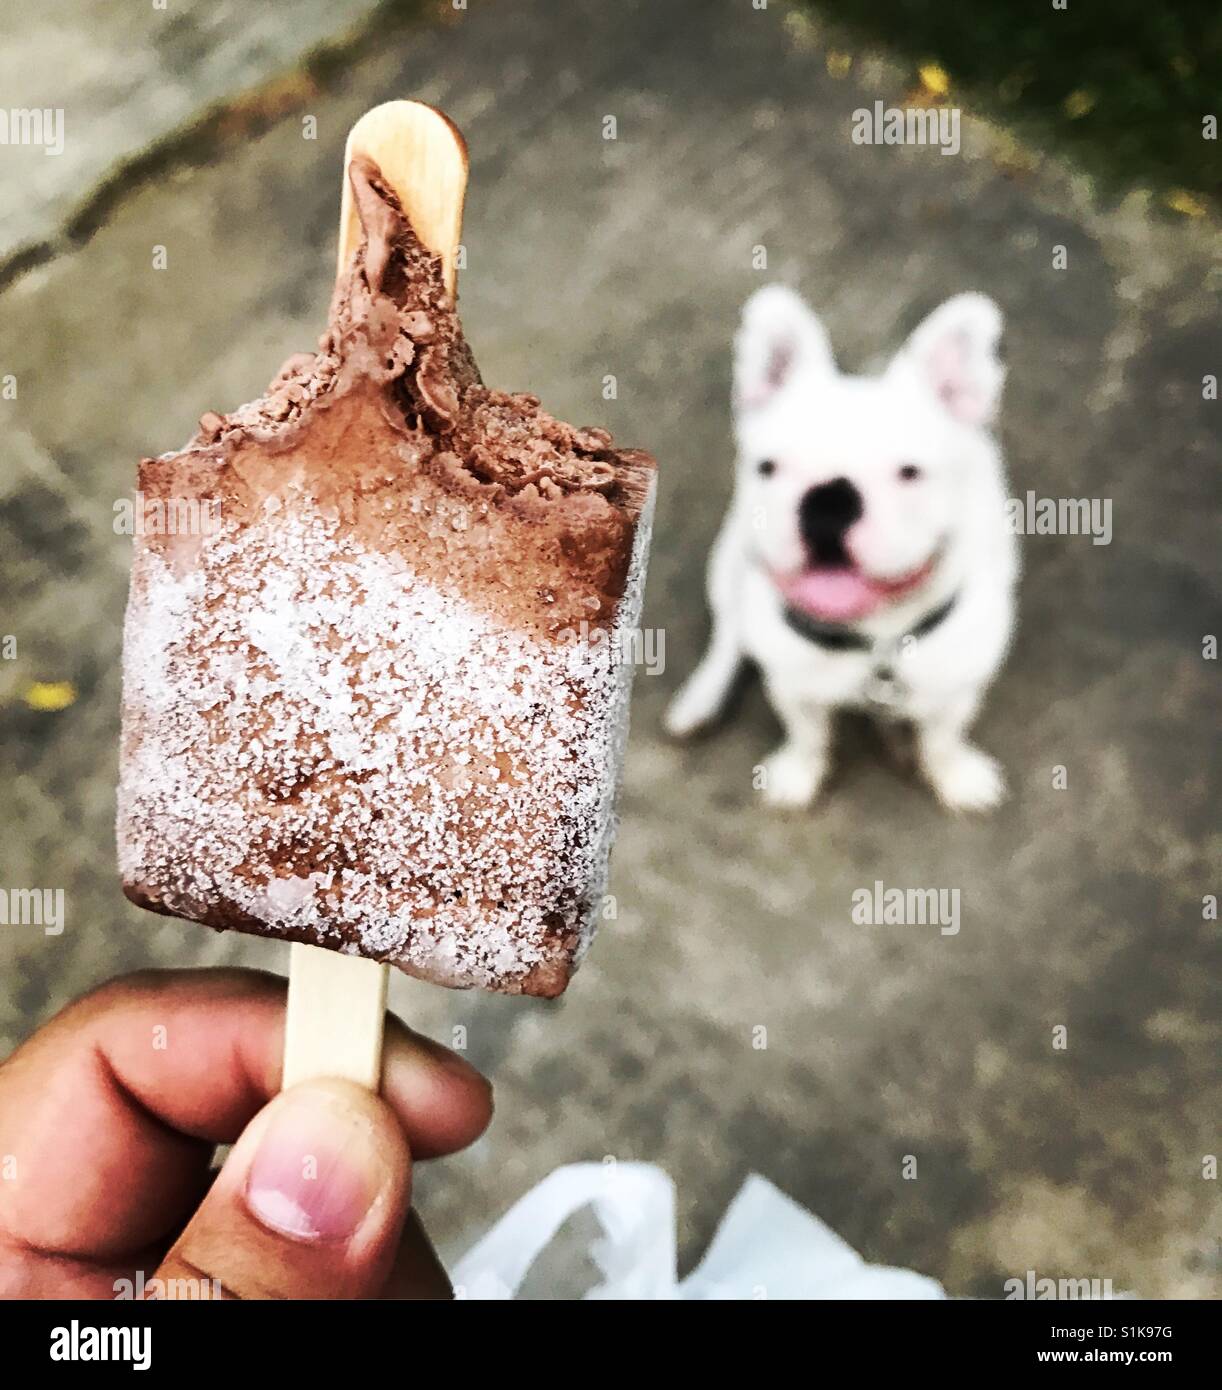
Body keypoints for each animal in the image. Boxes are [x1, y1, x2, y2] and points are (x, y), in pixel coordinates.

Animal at [664, 290, 1017, 811]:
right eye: (767, 467)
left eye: (910, 473)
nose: (829, 499)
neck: (876, 645)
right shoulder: (792, 685)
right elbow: (808, 735)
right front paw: (799, 773)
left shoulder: (957, 688)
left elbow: (943, 739)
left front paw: (954, 775)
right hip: (729, 563)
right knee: (729, 635)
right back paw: (700, 699)